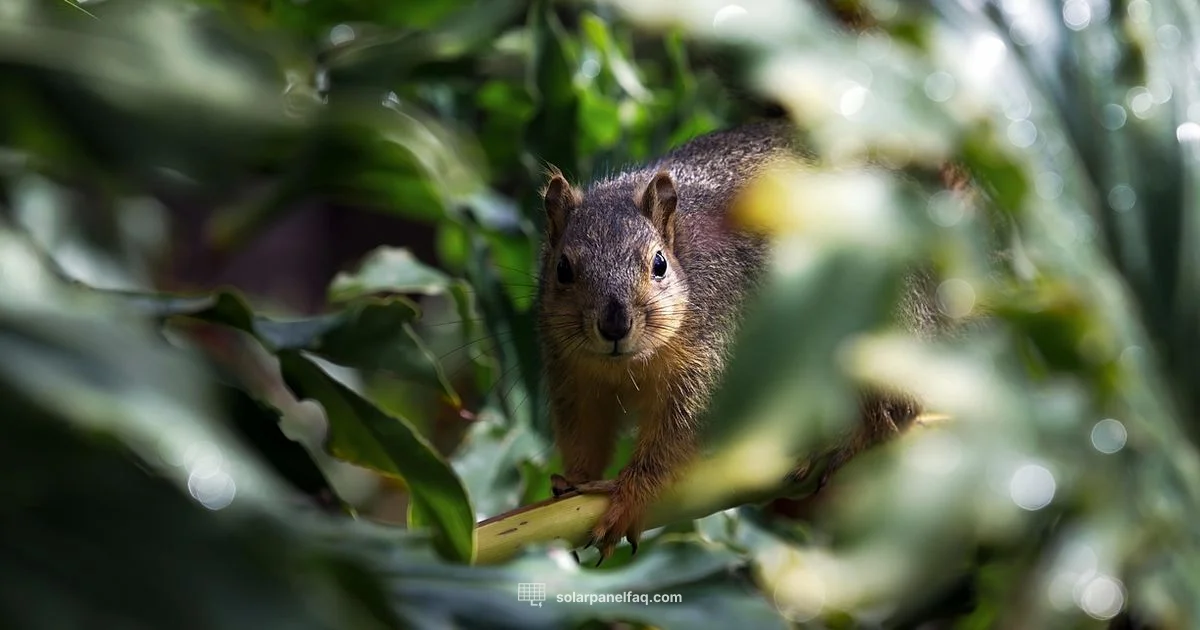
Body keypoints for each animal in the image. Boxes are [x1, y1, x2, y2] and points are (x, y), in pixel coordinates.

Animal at [534, 119, 958, 564]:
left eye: (659, 264)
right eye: (562, 268)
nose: (614, 326)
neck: (627, 364)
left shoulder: (711, 354)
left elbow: (674, 438)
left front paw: (627, 497)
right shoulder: (571, 372)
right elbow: (583, 428)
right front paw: (575, 479)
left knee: (897, 411)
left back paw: (845, 440)